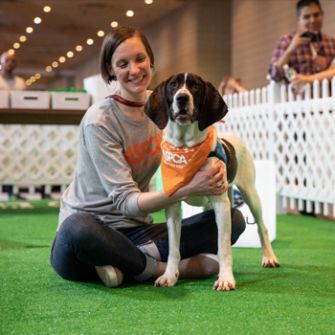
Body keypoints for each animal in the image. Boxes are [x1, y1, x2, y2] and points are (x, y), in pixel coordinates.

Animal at [146, 73, 280, 292]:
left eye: (195, 87)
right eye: (173, 85)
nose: (182, 98)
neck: (185, 148)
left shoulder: (220, 205)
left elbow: (223, 246)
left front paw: (225, 278)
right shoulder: (173, 207)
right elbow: (174, 248)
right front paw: (169, 276)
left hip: (250, 193)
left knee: (262, 227)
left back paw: (269, 257)